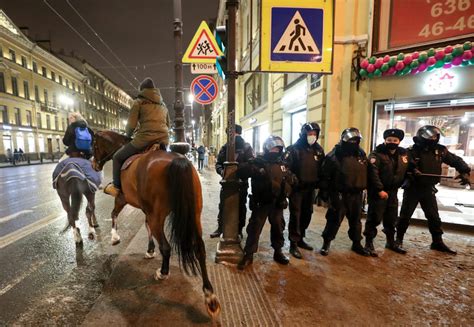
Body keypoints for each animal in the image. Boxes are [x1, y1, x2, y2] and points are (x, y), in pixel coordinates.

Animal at [90, 131, 220, 320]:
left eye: (93, 144)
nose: (93, 164)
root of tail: (177, 160)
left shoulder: (122, 199)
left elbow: (113, 214)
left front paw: (114, 237)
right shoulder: (147, 210)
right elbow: (146, 226)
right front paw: (150, 250)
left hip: (156, 215)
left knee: (166, 246)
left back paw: (163, 273)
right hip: (193, 214)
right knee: (199, 249)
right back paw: (210, 296)